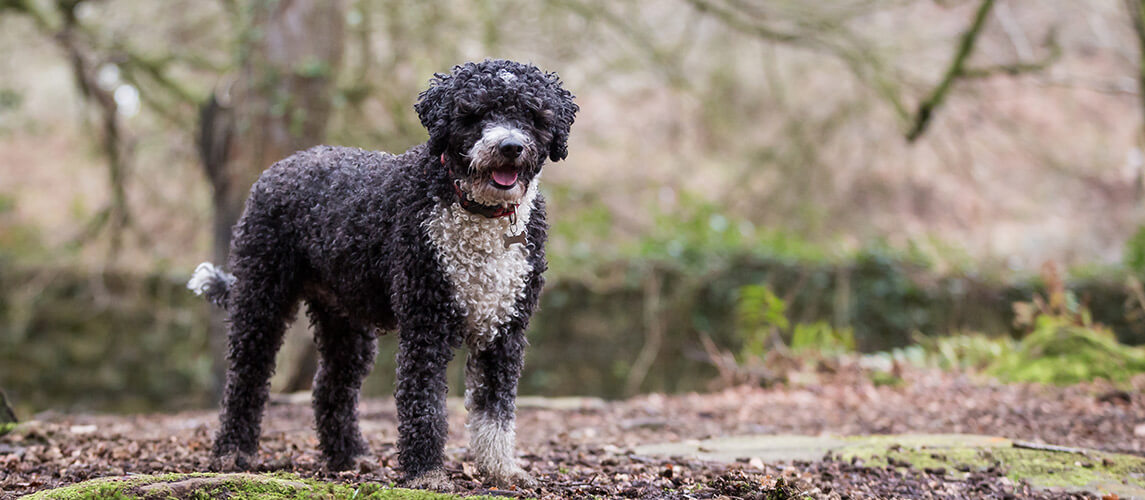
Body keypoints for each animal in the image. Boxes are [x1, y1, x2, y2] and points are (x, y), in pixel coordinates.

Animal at [190, 57, 581, 487]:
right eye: (475, 113)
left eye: (531, 115)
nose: (510, 146)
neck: (479, 212)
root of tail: (282, 165)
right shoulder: (426, 322)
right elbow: (424, 404)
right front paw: (426, 473)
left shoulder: (505, 329)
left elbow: (495, 410)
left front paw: (500, 469)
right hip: (261, 297)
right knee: (247, 377)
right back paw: (233, 451)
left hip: (346, 319)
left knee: (331, 387)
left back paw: (348, 455)